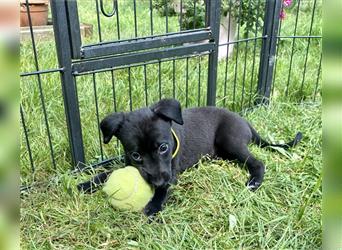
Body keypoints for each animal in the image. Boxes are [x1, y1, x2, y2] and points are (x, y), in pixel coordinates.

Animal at [78, 98, 302, 216]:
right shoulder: (128, 162)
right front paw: (87, 183)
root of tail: (244, 121)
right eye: (136, 155)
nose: (157, 182)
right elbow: (108, 171)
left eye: (163, 147)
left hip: (230, 141)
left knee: (258, 162)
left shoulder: (171, 172)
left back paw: (254, 181)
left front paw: (153, 206)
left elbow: (164, 190)